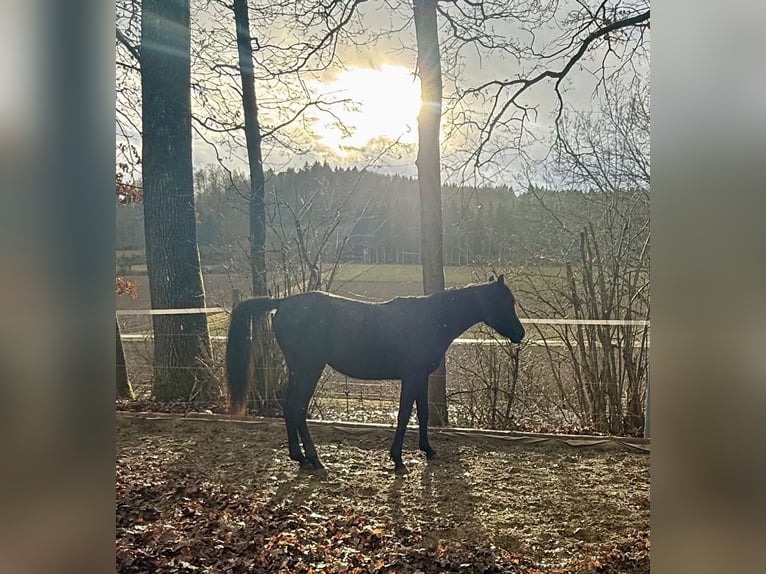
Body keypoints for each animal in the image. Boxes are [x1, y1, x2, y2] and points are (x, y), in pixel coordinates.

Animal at [225, 274, 525, 474]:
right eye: (503, 302)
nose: (520, 334)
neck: (431, 319)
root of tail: (284, 303)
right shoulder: (411, 377)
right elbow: (404, 415)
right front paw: (398, 460)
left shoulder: (421, 378)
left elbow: (423, 413)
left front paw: (427, 449)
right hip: (310, 368)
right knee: (298, 408)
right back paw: (315, 459)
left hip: (299, 369)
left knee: (289, 407)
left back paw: (299, 457)